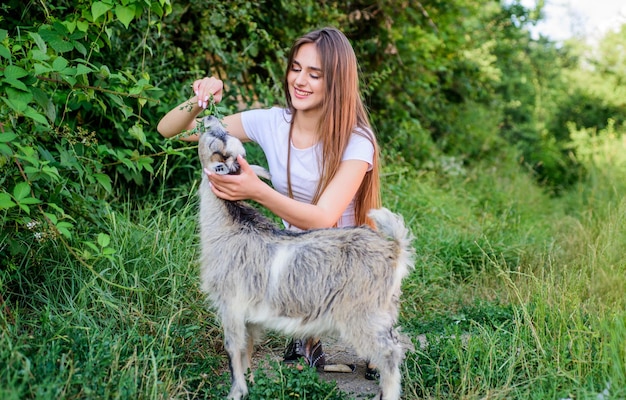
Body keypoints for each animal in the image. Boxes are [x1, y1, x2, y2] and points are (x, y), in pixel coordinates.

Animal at [197, 115, 414, 400]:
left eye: (216, 139)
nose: (209, 116)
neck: (230, 226)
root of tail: (394, 250)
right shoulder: (250, 314)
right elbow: (248, 348)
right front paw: (251, 383)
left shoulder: (231, 302)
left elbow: (233, 348)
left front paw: (236, 392)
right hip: (384, 309)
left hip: (362, 312)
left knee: (390, 354)